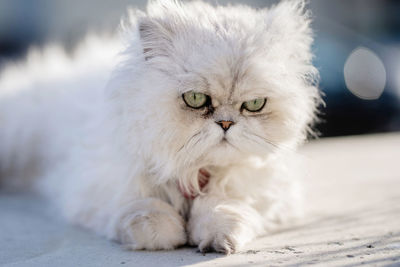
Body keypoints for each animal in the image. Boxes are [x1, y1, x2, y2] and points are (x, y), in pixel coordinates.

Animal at [0, 0, 318, 254]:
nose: (226, 123)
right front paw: (166, 231)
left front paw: (218, 238)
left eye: (254, 104)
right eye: (195, 99)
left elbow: (224, 208)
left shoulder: (263, 192)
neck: (193, 172)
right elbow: (144, 211)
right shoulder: (94, 185)